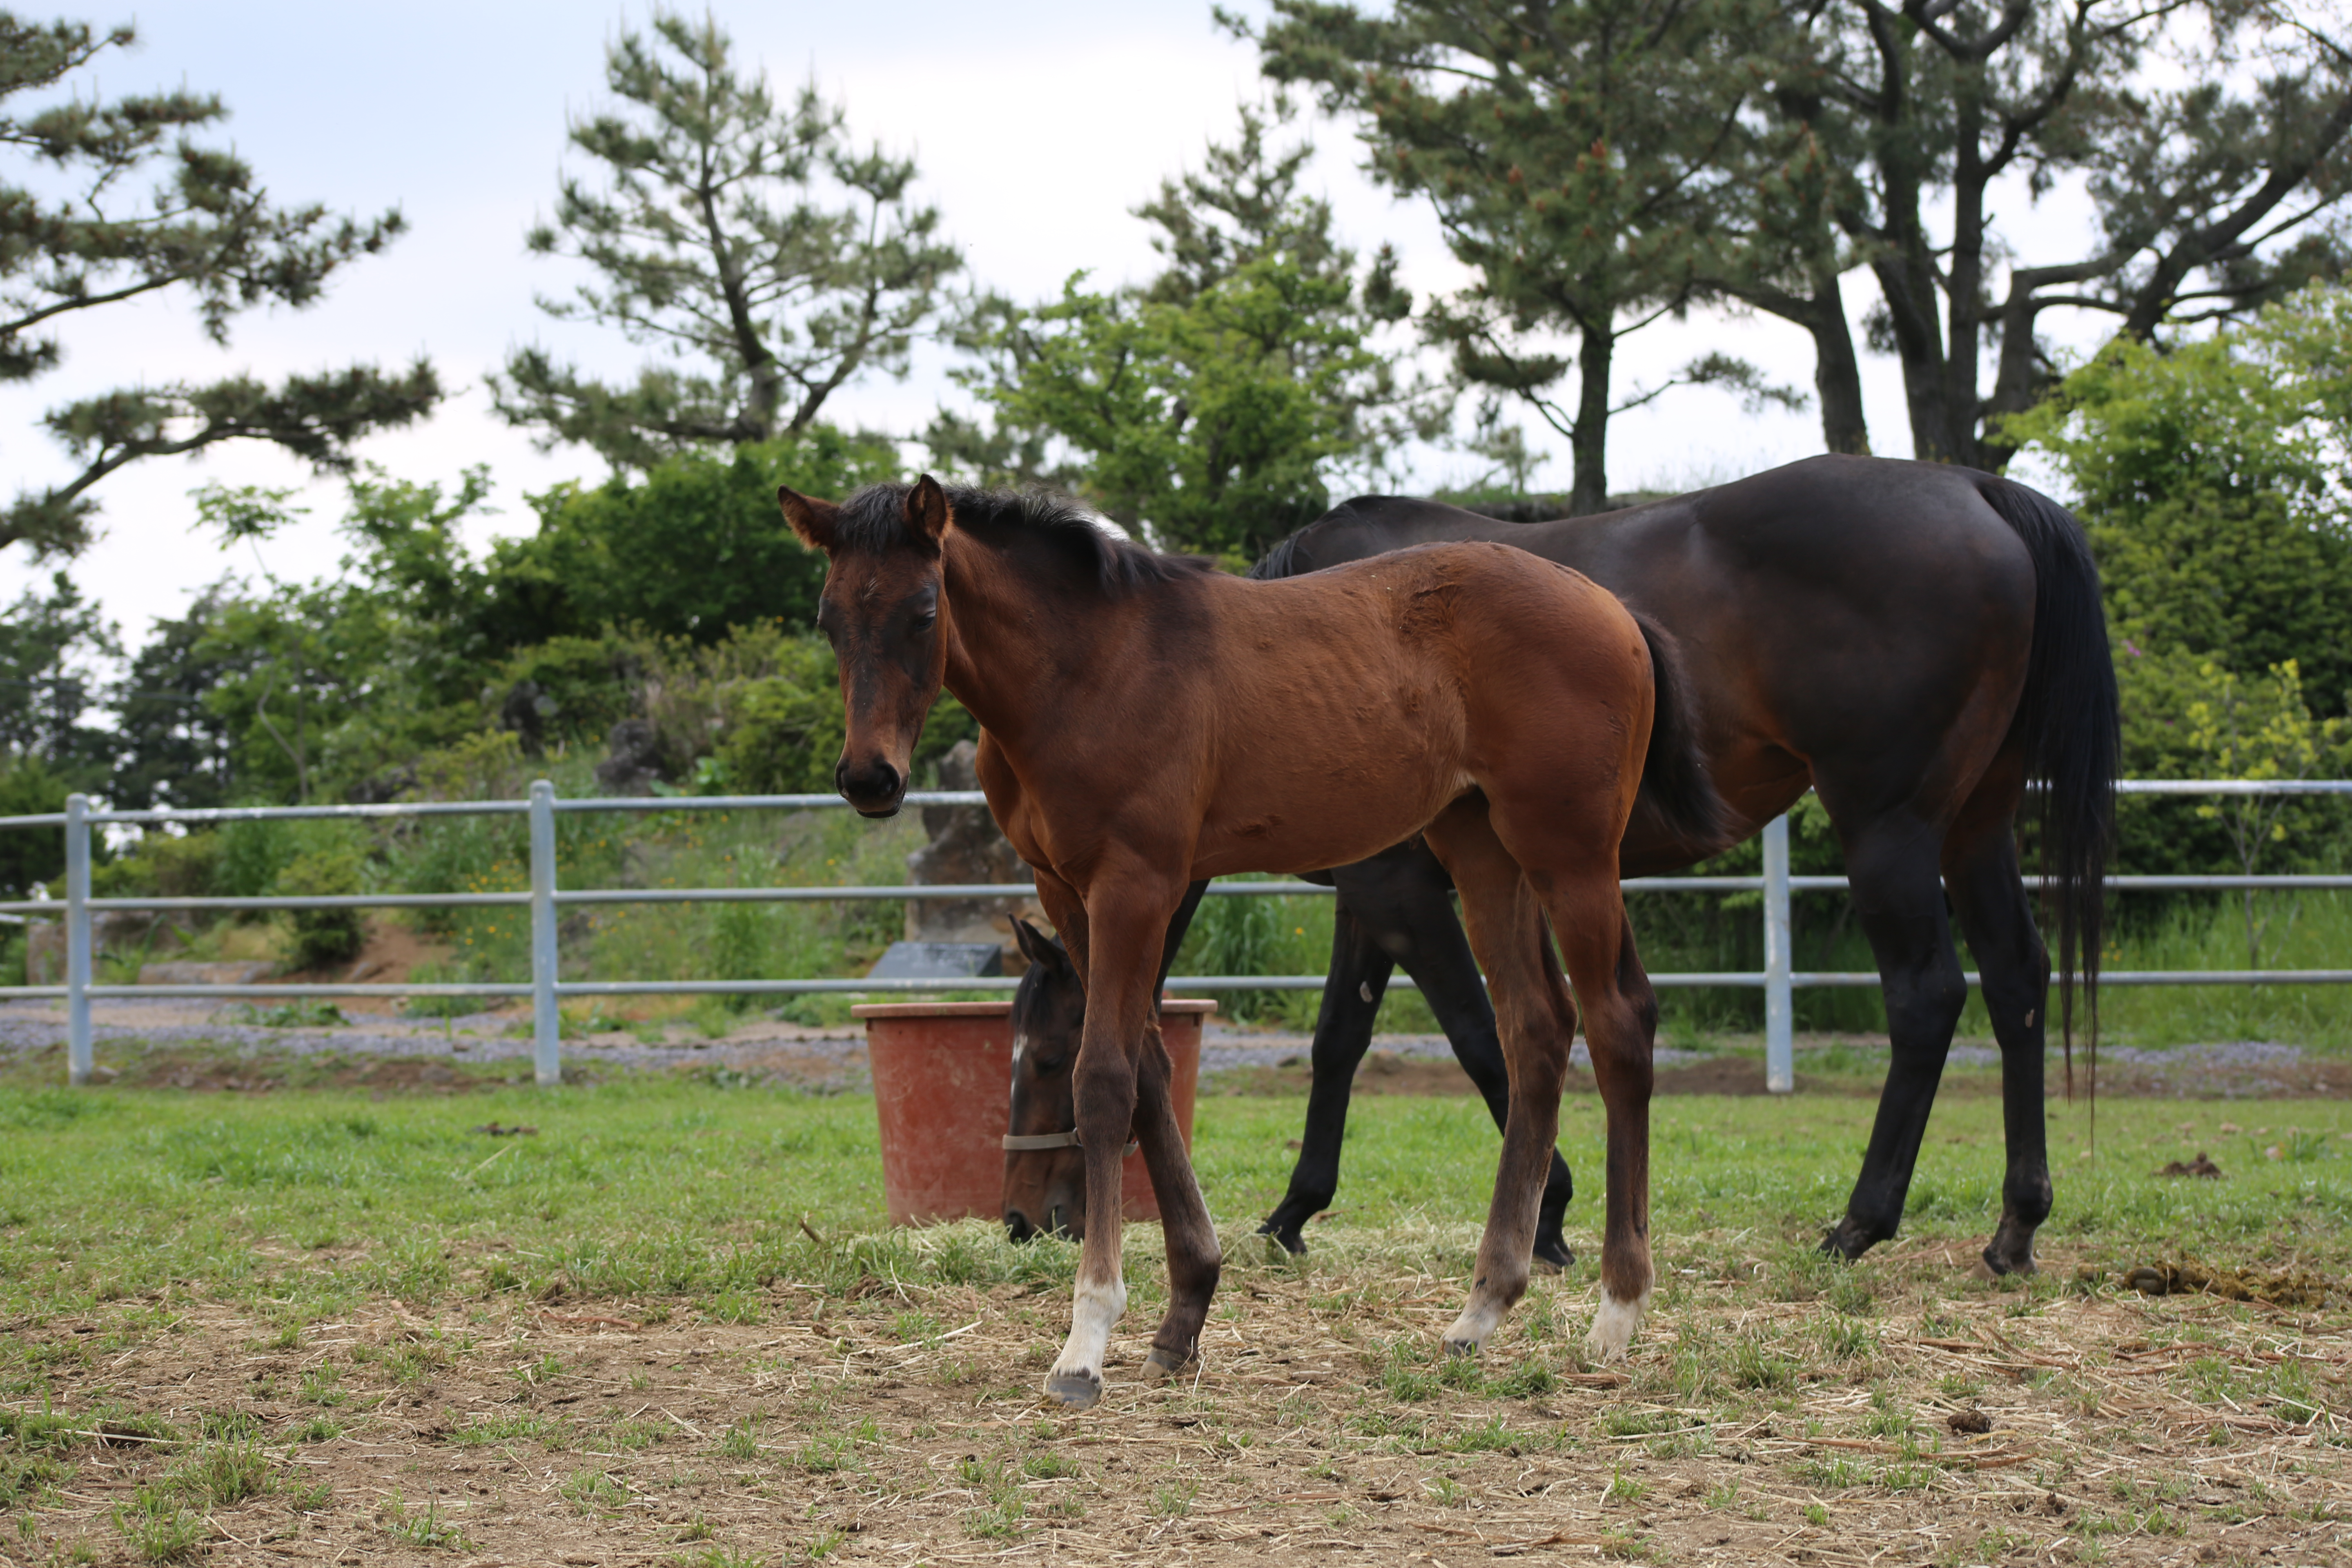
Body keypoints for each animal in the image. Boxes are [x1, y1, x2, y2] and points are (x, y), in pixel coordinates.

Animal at [781, 474, 1722, 1410]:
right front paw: (1183, 1315)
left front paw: (1087, 1341)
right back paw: (1481, 1310)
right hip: (1484, 849)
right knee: (1535, 1030)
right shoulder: (1070, 892)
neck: (1087, 668)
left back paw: (1616, 1313)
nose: (869, 779)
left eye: (924, 610)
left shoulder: (1135, 885)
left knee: (1618, 1024)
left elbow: (1106, 1080)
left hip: (1571, 855)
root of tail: (1612, 607)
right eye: (827, 616)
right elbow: (1149, 1070)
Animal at [1002, 451, 2126, 1278]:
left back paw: (1860, 1222)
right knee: (2018, 981)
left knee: (1928, 995)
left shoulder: (1404, 896)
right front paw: (1295, 1209)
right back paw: (2014, 1226)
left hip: (1887, 827)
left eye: (1047, 1058)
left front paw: (1547, 1213)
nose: (1024, 1219)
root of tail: (1979, 491)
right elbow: (1338, 1042)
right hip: (1973, 827)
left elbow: (1477, 1033)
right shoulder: (1375, 897)